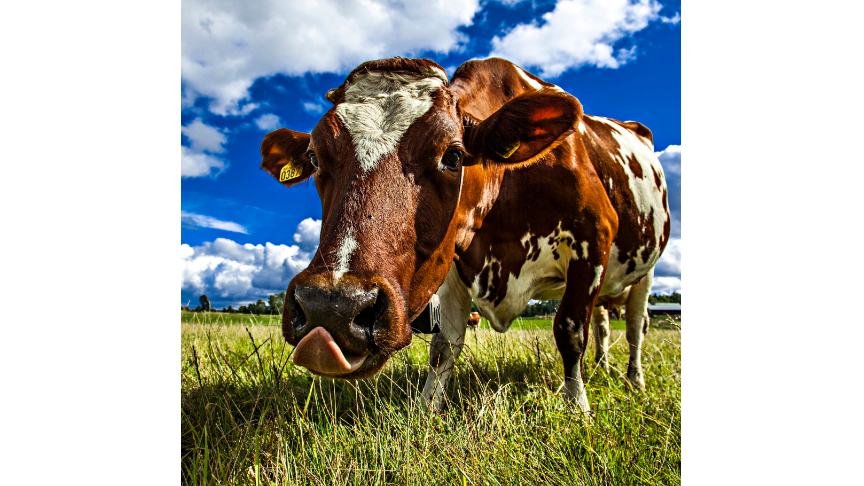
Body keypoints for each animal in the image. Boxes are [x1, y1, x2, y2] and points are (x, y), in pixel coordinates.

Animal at [260, 58, 672, 414]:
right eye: (315, 158)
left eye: (453, 156)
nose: (332, 307)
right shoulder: (451, 261)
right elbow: (445, 343)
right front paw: (426, 410)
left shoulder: (593, 241)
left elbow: (570, 330)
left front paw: (577, 408)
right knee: (603, 323)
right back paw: (603, 367)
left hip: (645, 272)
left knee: (635, 328)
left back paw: (634, 381)